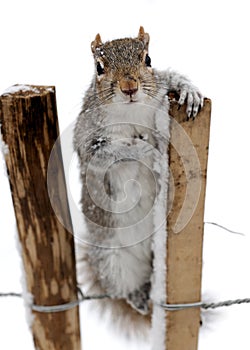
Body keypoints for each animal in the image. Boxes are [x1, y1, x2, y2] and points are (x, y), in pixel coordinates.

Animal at [73, 27, 203, 334]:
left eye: (148, 59)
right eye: (99, 67)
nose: (129, 87)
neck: (131, 111)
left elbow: (169, 78)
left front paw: (189, 91)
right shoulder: (88, 140)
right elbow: (115, 150)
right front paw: (149, 150)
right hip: (112, 261)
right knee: (123, 289)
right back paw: (140, 298)